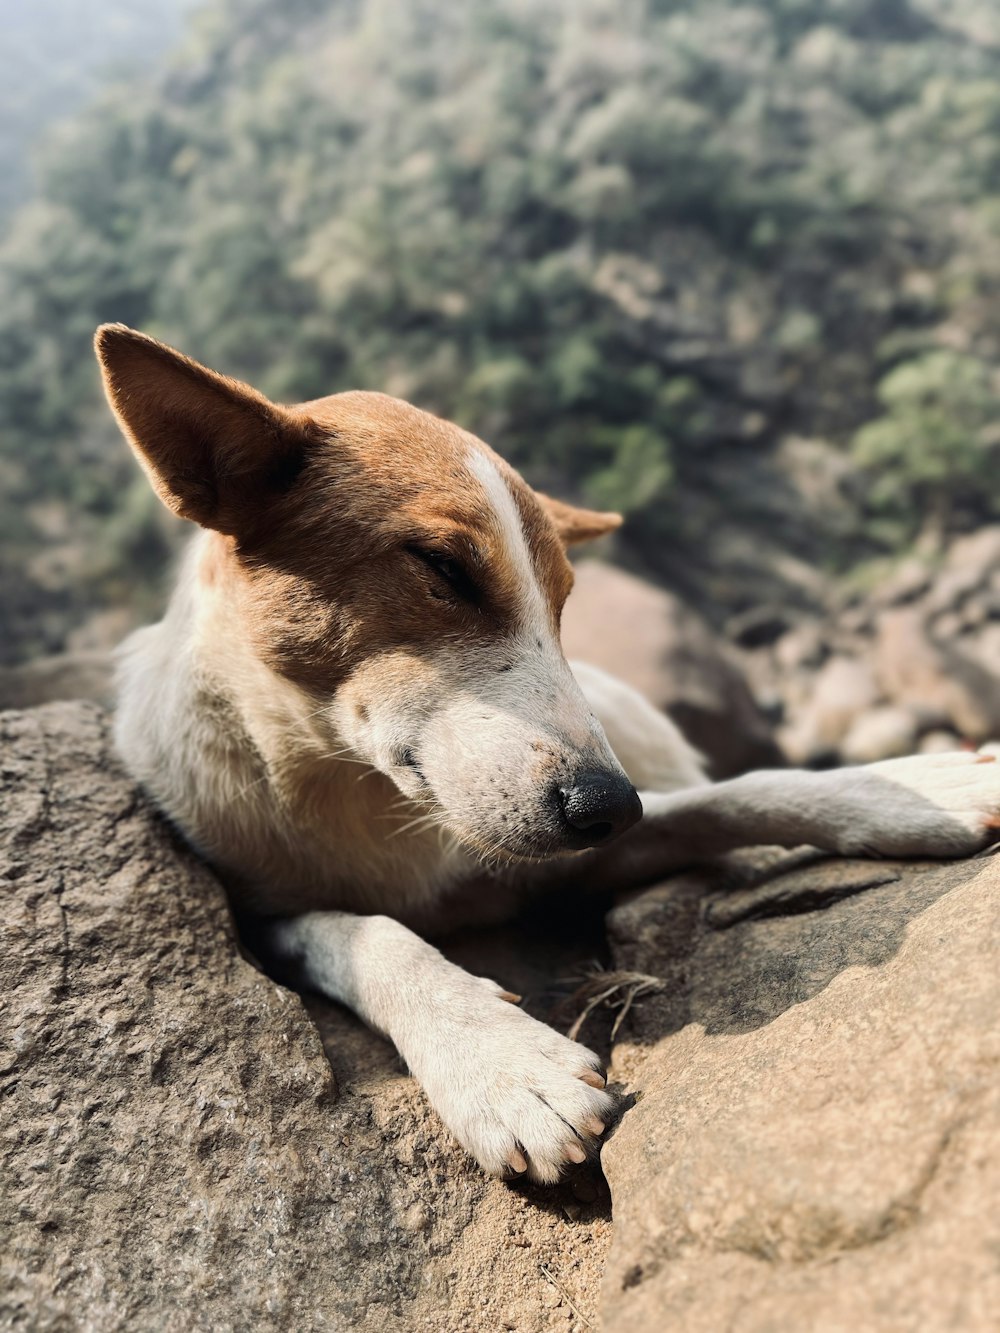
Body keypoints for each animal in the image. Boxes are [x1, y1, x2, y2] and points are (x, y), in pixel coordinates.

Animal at [98, 327, 1000, 1183]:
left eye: (563, 600)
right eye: (443, 568)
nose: (608, 806)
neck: (361, 796)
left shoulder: (568, 855)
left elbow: (738, 792)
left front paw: (906, 791)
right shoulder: (260, 911)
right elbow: (363, 935)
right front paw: (499, 1061)